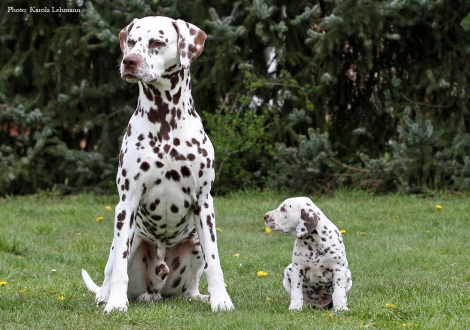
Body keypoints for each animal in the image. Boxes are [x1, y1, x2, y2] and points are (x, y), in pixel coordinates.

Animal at [82, 16, 235, 314]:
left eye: (157, 42)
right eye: (131, 41)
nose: (129, 61)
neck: (166, 122)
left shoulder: (204, 203)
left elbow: (214, 262)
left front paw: (221, 299)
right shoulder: (126, 203)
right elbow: (118, 268)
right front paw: (115, 303)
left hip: (194, 240)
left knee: (190, 285)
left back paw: (199, 296)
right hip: (130, 237)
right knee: (111, 269)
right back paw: (107, 296)